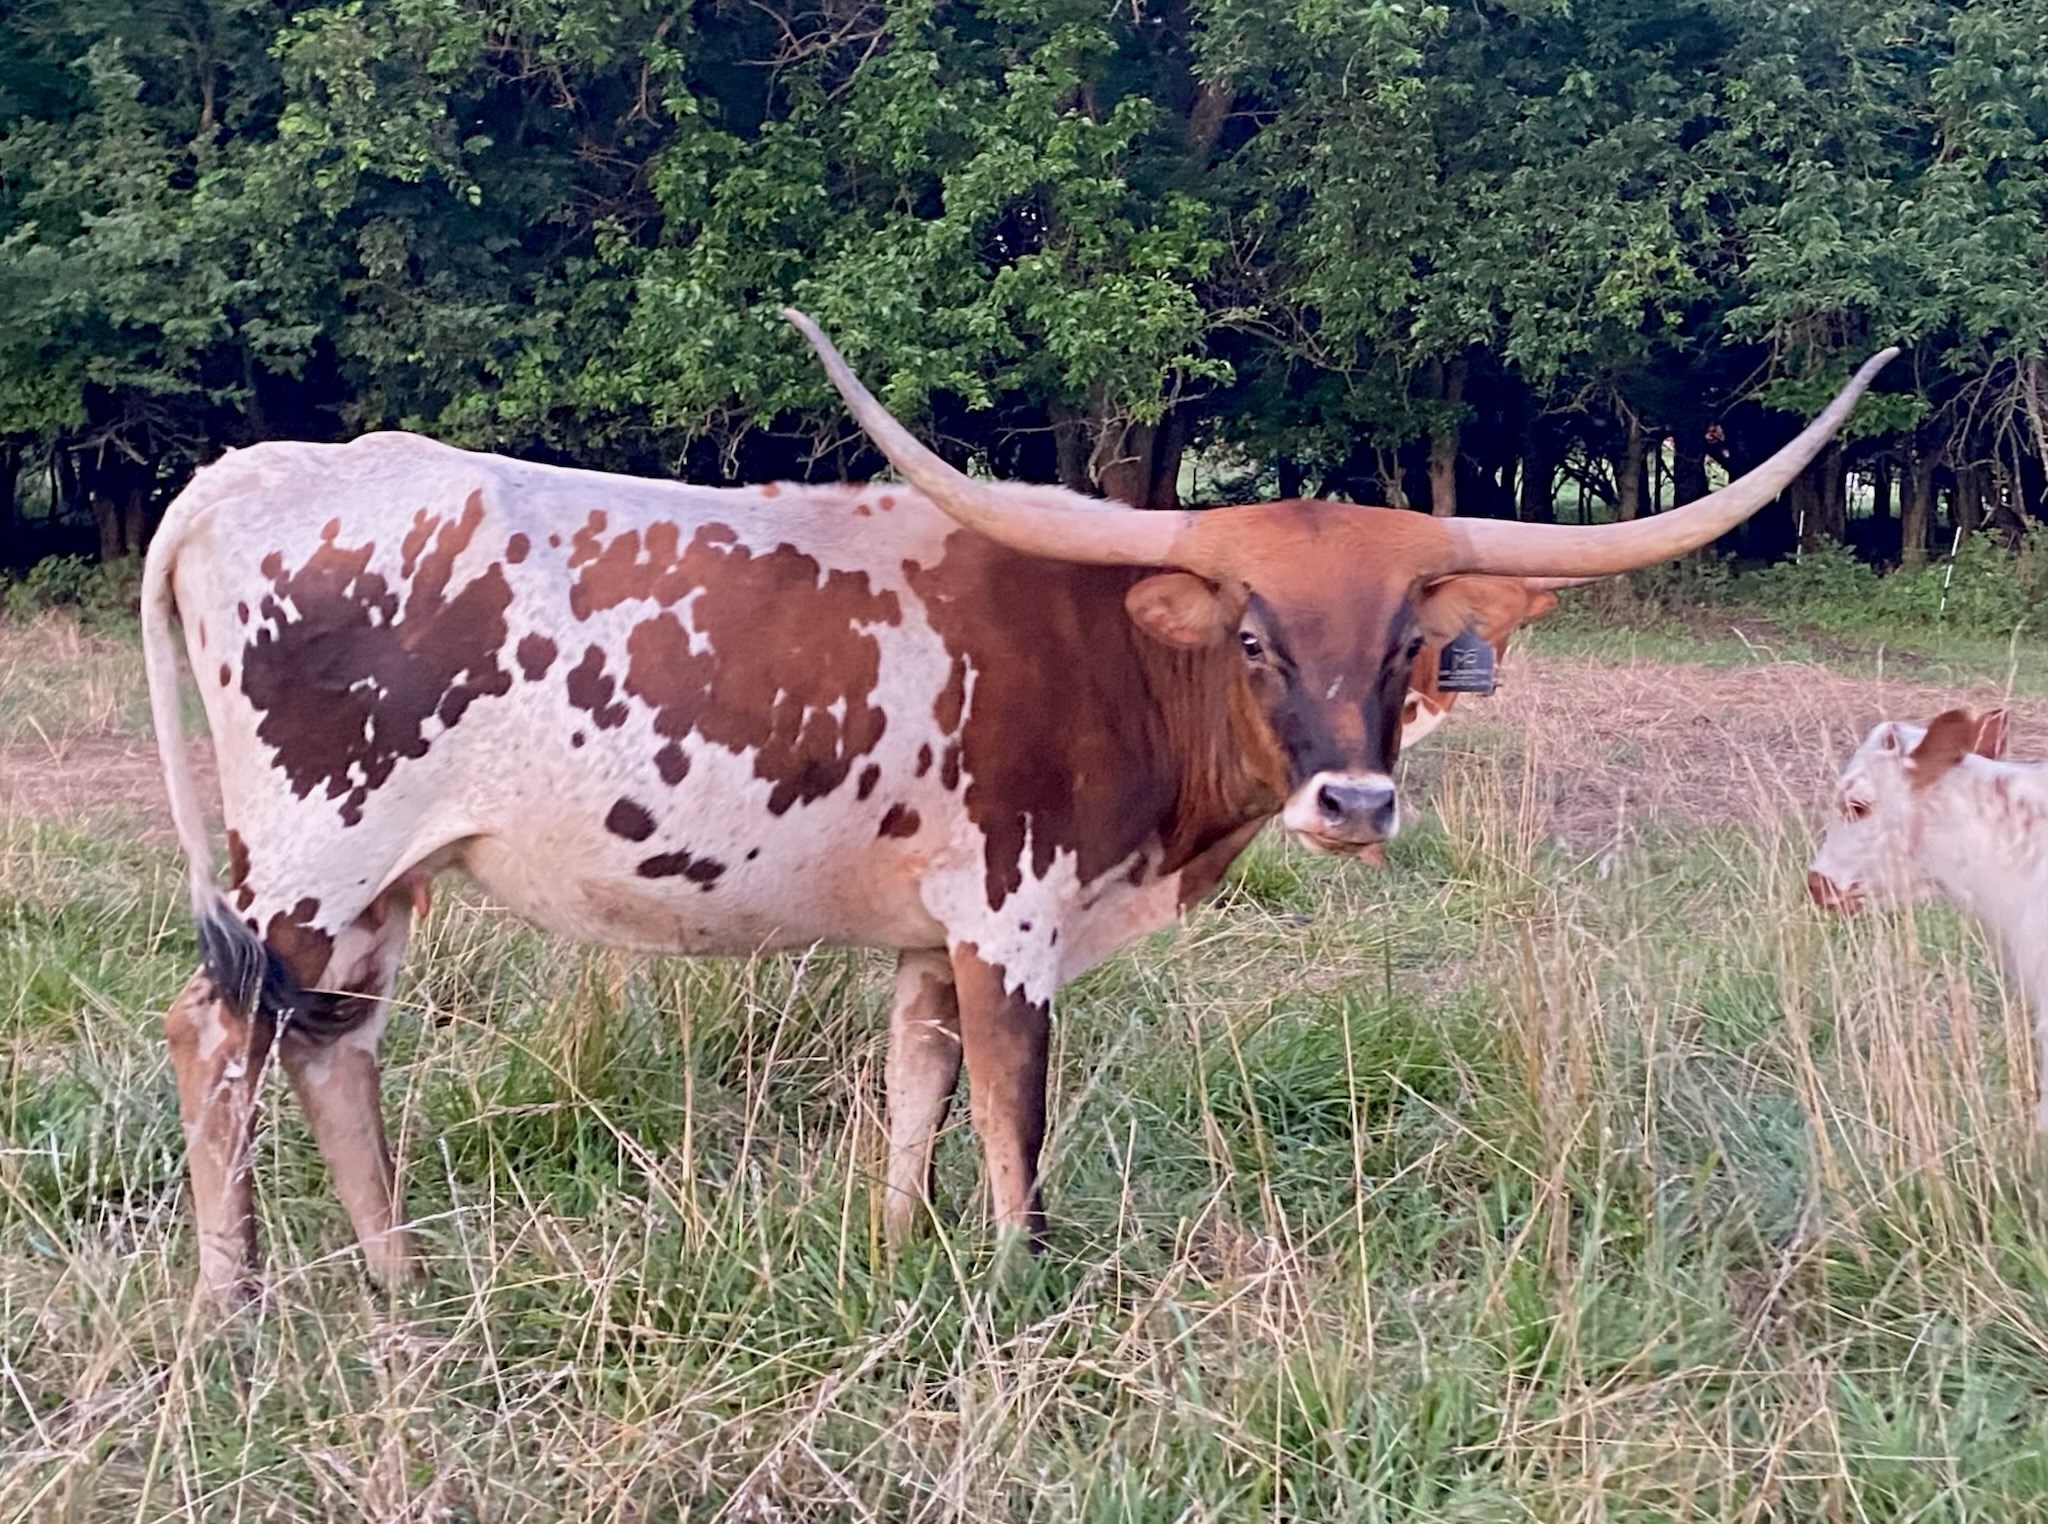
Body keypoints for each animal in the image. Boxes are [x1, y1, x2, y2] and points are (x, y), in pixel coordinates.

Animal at [142, 312, 1893, 1301]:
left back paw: (397, 1288)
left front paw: (899, 1264)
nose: (1353, 798)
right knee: (217, 1037)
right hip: (313, 856)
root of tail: (249, 476)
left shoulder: (929, 937)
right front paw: (1016, 1282)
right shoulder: (1012, 920)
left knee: (334, 1052)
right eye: (1253, 637)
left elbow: (916, 1100)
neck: (1120, 656)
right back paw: (235, 1307)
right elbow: (1012, 1116)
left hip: (383, 885)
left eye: (1406, 644)